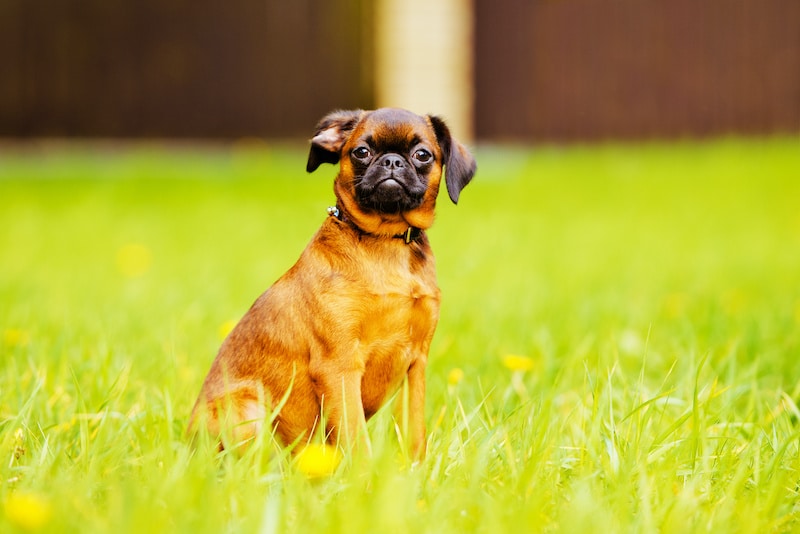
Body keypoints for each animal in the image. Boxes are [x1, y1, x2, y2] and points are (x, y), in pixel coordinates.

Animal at [188, 109, 476, 460]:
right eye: (361, 152)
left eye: (423, 155)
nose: (392, 161)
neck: (386, 243)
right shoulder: (339, 366)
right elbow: (355, 436)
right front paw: (365, 473)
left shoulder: (415, 366)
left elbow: (413, 433)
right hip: (247, 410)